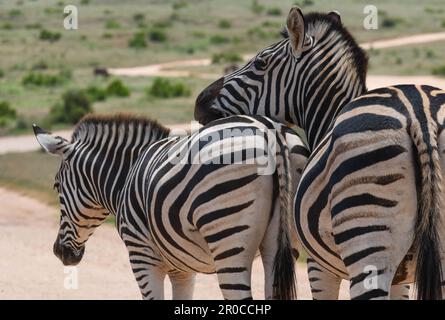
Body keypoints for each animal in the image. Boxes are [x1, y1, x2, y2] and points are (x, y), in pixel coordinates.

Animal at [33, 114, 308, 298]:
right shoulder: (182, 269)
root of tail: (270, 130)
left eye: (56, 186)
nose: (59, 252)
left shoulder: (142, 257)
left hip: (228, 240)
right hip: (280, 245)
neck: (125, 176)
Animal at [195, 7, 444, 298]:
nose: (199, 102)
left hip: (367, 245)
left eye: (260, 63)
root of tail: (419, 115)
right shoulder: (402, 278)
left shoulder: (318, 267)